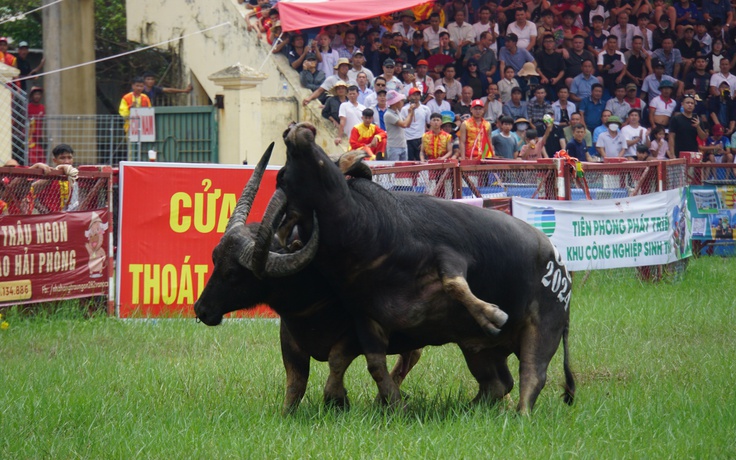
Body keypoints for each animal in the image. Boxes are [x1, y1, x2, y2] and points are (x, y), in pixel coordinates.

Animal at [193, 145, 422, 414]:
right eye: (215, 261)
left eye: (232, 274)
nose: (201, 309)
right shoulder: (289, 342)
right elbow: (295, 382)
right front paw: (288, 412)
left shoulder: (356, 335)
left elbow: (336, 360)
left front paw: (337, 399)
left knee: (411, 355)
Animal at [258, 124, 576, 416]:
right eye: (282, 175)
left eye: (319, 158)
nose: (295, 131)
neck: (371, 240)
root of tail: (560, 265)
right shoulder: (367, 319)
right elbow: (376, 366)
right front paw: (392, 402)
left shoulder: (449, 254)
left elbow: (454, 283)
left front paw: (492, 314)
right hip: (480, 350)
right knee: (498, 383)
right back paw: (468, 409)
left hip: (544, 327)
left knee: (532, 376)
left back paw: (519, 414)